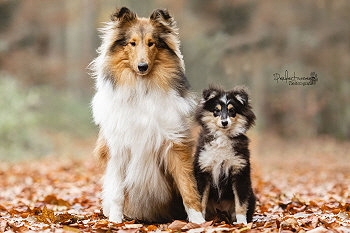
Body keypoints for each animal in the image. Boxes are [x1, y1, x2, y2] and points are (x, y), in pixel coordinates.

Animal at [90, 6, 205, 223]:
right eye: (132, 43)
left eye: (151, 43)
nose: (142, 67)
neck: (141, 88)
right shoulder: (117, 147)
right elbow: (117, 193)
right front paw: (115, 221)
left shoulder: (175, 143)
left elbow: (187, 186)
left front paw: (199, 221)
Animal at [194, 85, 254, 224]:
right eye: (216, 110)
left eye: (232, 111)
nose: (224, 122)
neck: (222, 138)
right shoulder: (203, 171)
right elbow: (201, 200)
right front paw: (200, 221)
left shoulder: (240, 172)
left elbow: (241, 203)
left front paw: (242, 223)